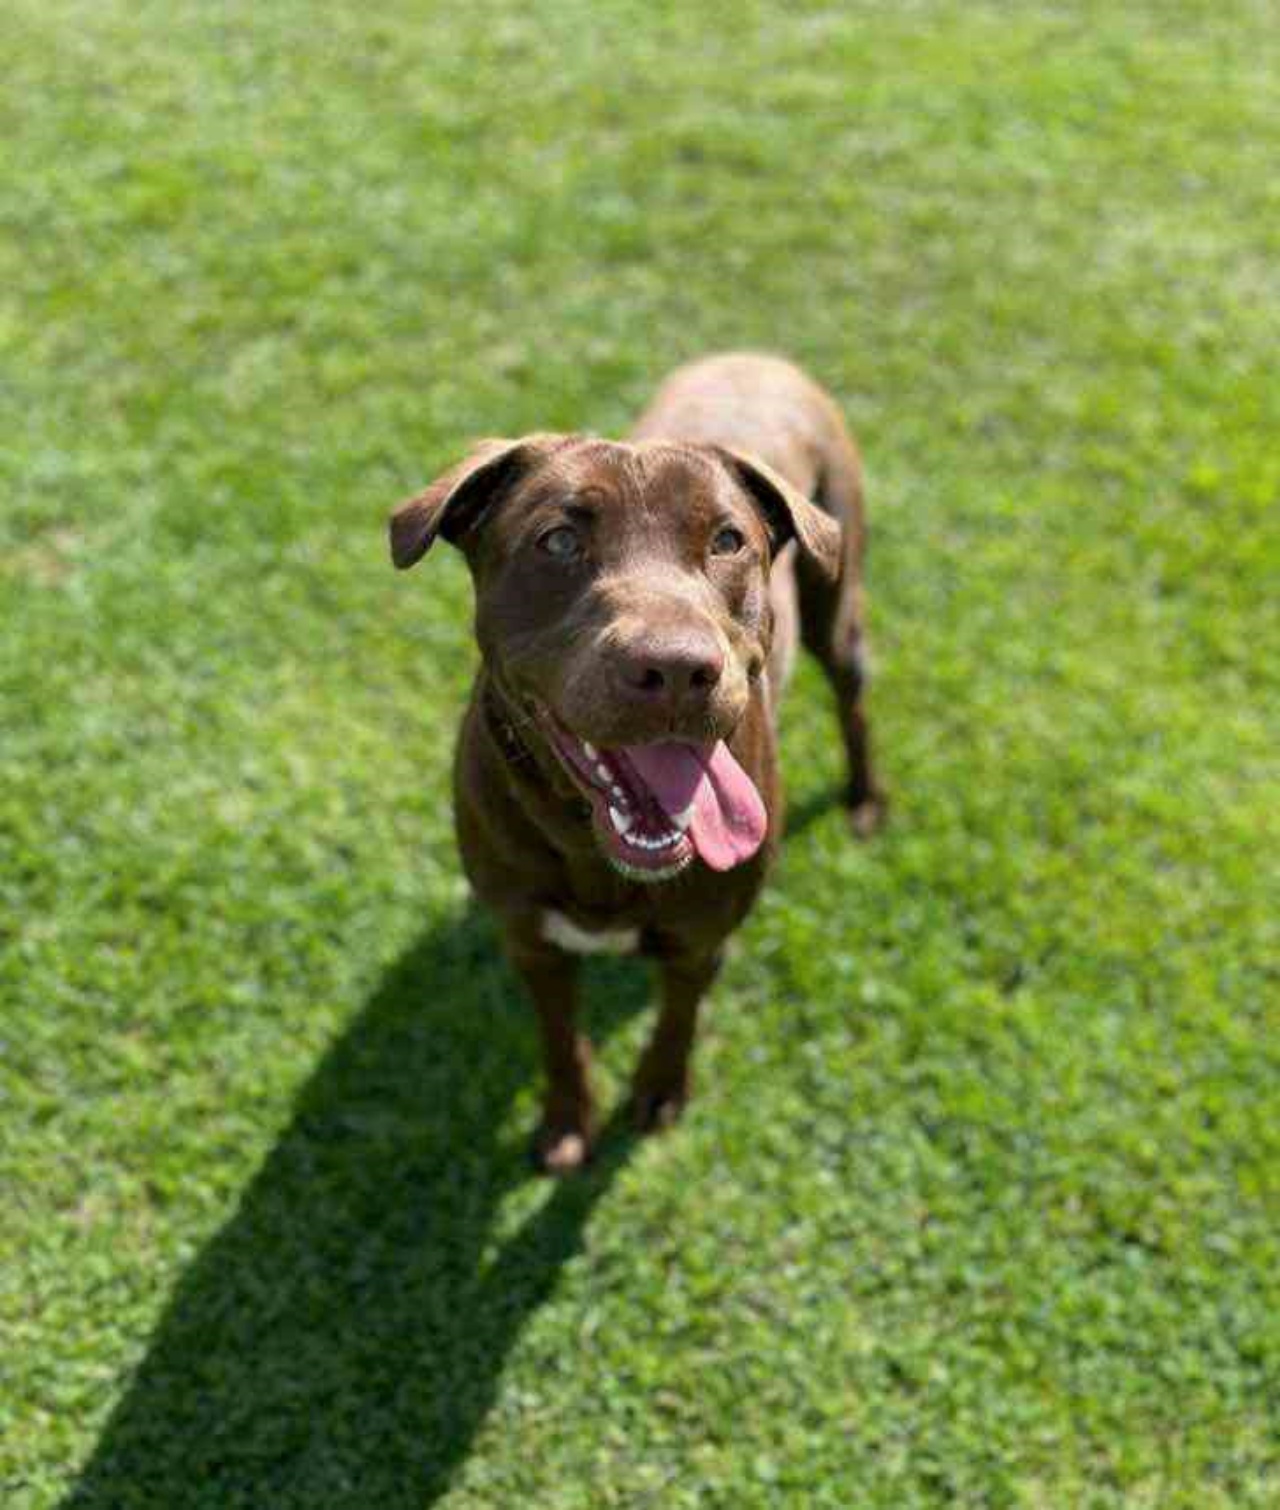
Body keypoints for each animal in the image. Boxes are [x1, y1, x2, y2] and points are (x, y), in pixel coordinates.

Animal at [392, 353, 881, 1165]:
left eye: (728, 541)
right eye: (558, 540)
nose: (678, 669)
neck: (596, 852)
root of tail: (759, 357)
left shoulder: (700, 941)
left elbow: (677, 1018)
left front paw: (658, 1093)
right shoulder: (532, 944)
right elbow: (560, 1040)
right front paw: (567, 1121)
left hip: (834, 597)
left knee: (854, 692)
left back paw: (866, 798)